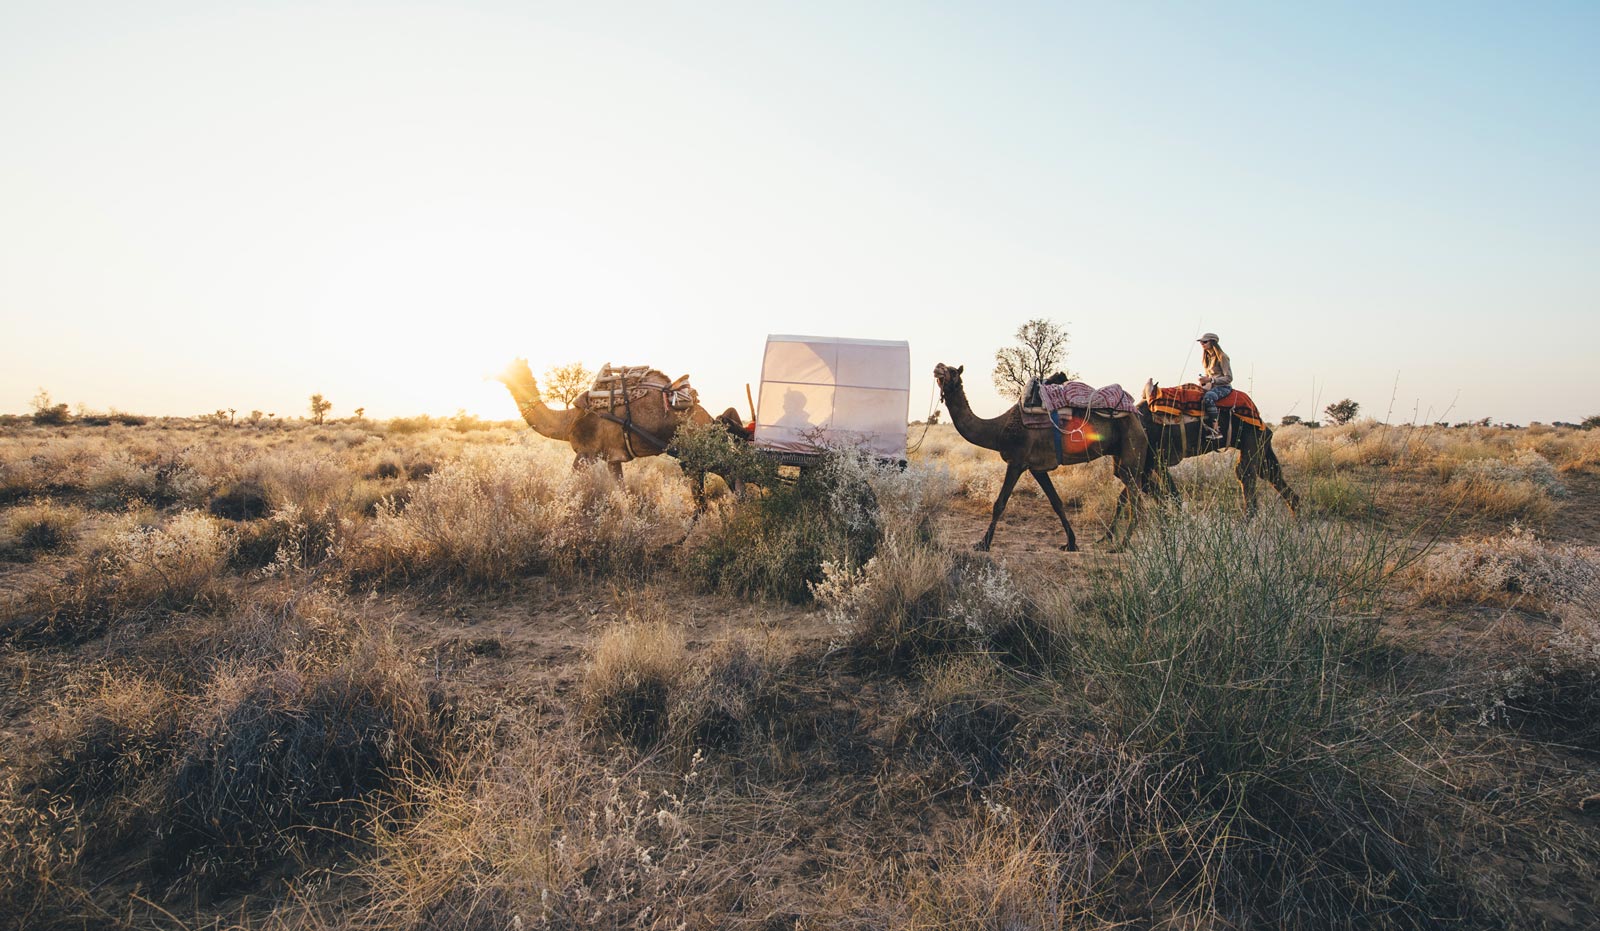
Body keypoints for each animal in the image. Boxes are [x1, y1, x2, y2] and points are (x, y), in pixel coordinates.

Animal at [492, 359, 742, 502]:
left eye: (514, 368)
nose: (491, 373)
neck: (568, 421)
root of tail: (712, 419)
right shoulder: (613, 458)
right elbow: (622, 495)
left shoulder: (585, 454)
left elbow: (565, 490)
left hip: (698, 452)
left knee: (731, 475)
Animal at [934, 364, 1145, 553]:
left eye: (952, 371)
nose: (937, 368)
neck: (999, 429)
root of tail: (1136, 415)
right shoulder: (1037, 468)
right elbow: (1056, 502)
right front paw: (1071, 543)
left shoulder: (1016, 462)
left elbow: (999, 503)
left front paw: (983, 544)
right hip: (1120, 460)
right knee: (1127, 495)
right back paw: (1108, 540)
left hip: (1131, 452)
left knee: (1135, 502)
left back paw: (1121, 546)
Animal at [1113, 375, 1299, 527]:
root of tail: (1263, 423)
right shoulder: (1149, 463)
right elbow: (1127, 495)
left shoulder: (1154, 458)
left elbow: (1170, 494)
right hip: (1261, 445)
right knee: (1272, 475)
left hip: (1253, 437)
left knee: (1246, 476)